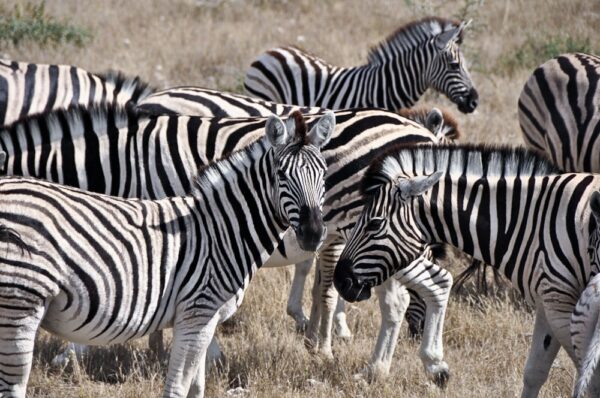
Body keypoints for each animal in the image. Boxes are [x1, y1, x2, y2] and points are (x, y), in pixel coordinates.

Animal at [0, 109, 332, 398]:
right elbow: (177, 388)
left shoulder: (204, 321)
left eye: (324, 174)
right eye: (281, 174)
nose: (314, 233)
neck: (222, 229)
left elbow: (197, 387)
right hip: (20, 303)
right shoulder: (197, 314)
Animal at [332, 142, 600, 394]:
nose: (340, 281)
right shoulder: (547, 302)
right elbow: (535, 371)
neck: (532, 221)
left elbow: (584, 371)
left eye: (374, 224)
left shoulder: (560, 301)